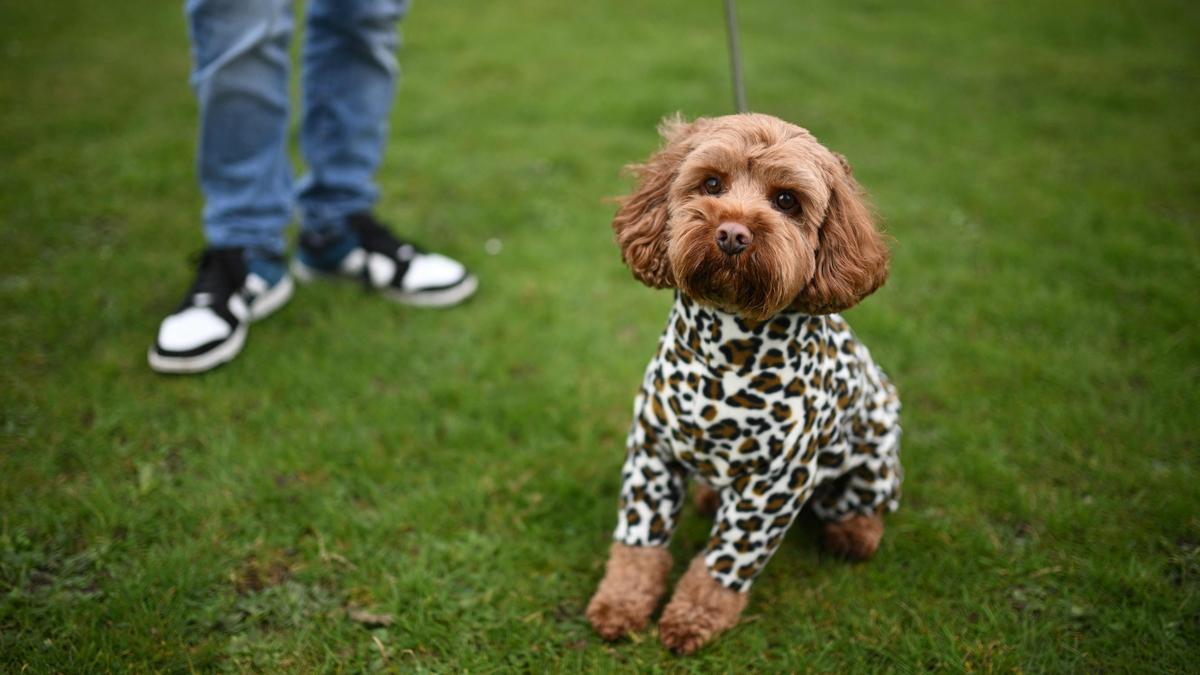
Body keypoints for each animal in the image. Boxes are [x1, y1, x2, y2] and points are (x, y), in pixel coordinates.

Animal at [585, 112, 902, 648]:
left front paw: (694, 616)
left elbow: (726, 560)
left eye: (786, 200)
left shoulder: (774, 487)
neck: (724, 353)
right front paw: (620, 603)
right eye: (712, 183)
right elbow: (637, 545)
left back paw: (854, 534)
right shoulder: (652, 453)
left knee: (866, 505)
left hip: (874, 456)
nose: (732, 233)